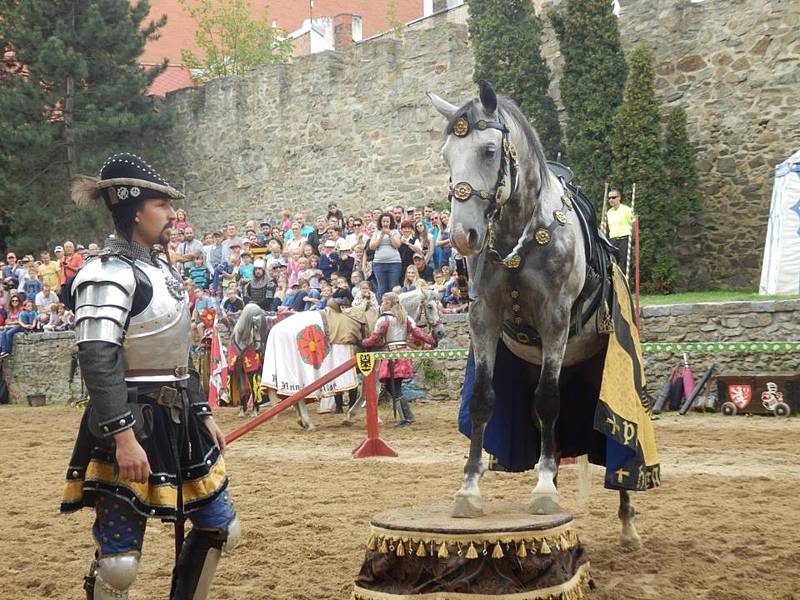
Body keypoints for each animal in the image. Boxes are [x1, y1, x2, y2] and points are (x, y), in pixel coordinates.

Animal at [428, 81, 640, 548]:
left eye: (490, 150)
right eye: (447, 154)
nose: (462, 236)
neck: (518, 238)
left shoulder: (555, 321)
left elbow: (547, 401)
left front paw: (542, 489)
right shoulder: (483, 318)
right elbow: (483, 400)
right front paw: (469, 490)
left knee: (611, 446)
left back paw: (626, 521)